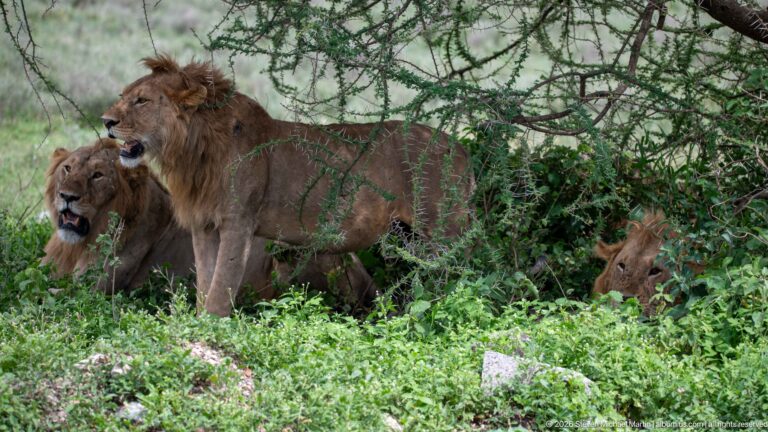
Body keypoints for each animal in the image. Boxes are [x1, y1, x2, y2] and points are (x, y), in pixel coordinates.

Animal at [102, 55, 475, 316]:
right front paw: (196, 322)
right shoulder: (204, 225)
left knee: (466, 273)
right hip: (405, 235)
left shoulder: (239, 222)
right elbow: (205, 282)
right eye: (122, 95)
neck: (193, 151)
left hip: (444, 230)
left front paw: (210, 329)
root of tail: (460, 147)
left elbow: (222, 284)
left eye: (142, 101)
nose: (106, 121)